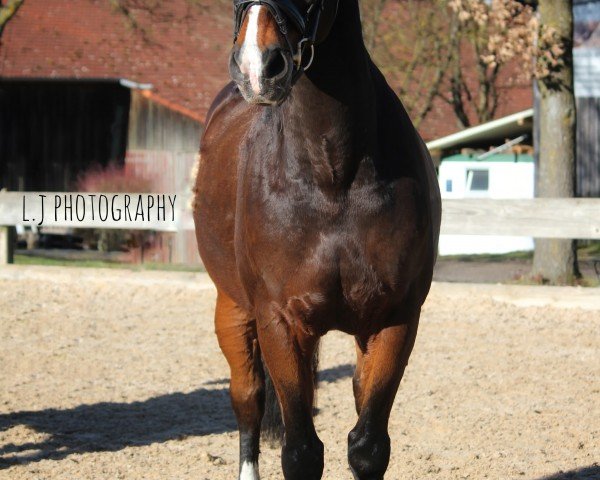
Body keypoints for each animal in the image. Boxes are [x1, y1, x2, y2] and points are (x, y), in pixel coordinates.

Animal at [195, 1, 442, 478]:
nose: (256, 68)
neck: (332, 178)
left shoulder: (395, 318)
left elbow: (368, 445)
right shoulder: (280, 322)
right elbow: (301, 451)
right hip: (232, 309)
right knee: (248, 399)